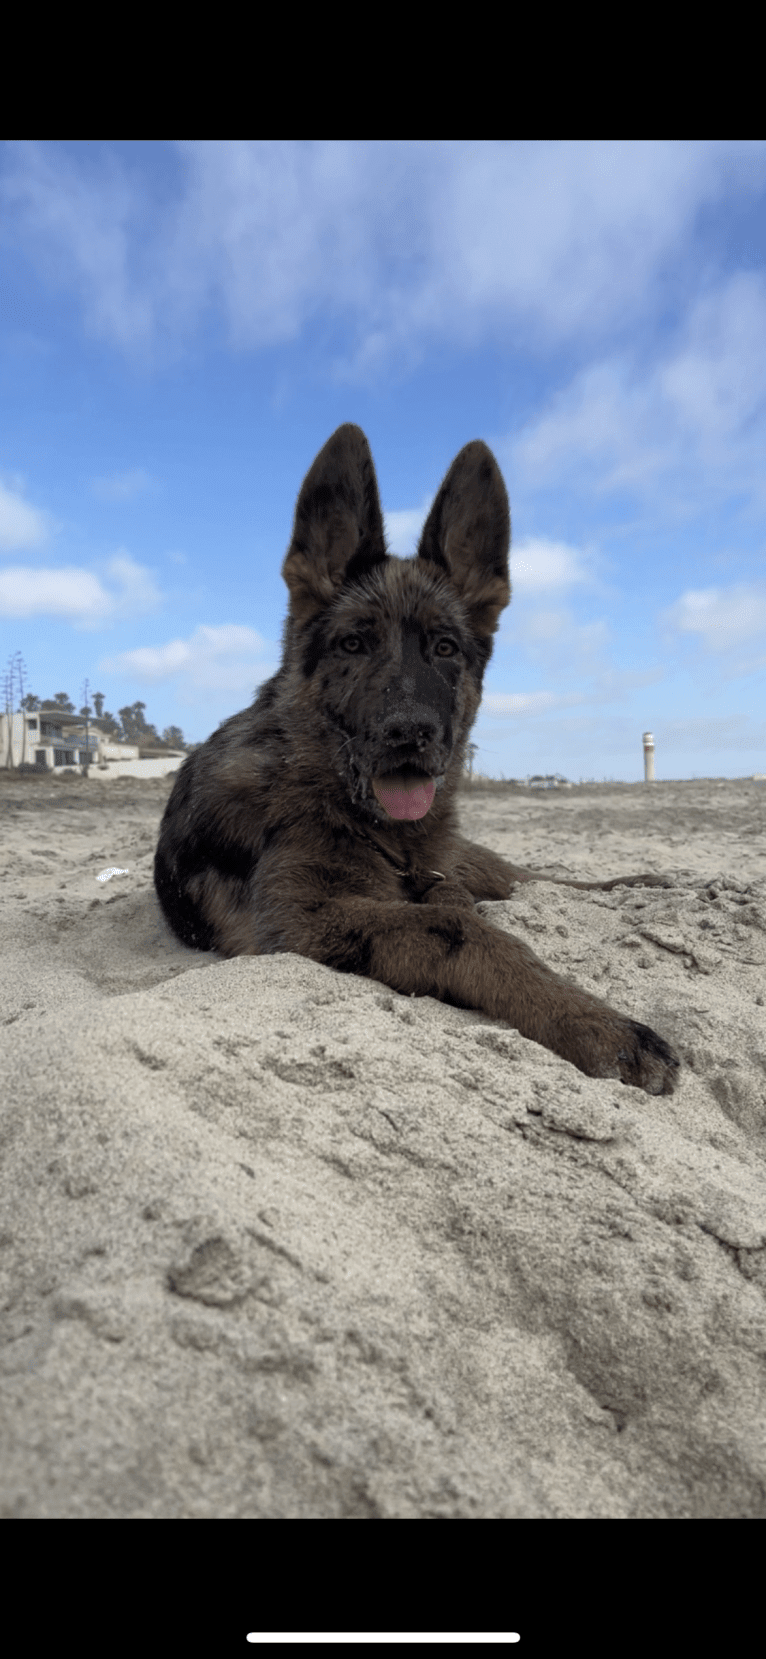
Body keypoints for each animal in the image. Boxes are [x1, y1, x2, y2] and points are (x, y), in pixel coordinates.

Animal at [154, 428, 676, 1094]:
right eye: (353, 644)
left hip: (468, 856)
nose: (409, 733)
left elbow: (464, 908)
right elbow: (462, 929)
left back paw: (632, 885)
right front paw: (596, 1023)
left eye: (445, 647)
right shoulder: (302, 920)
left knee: (529, 877)